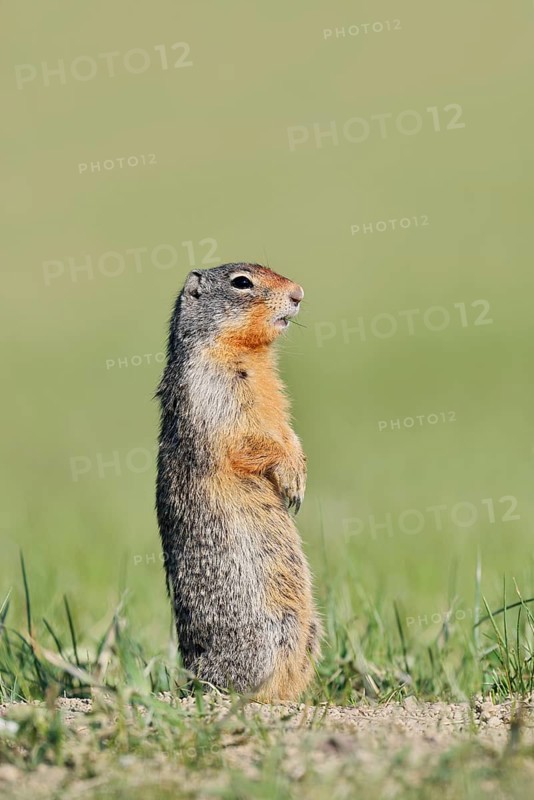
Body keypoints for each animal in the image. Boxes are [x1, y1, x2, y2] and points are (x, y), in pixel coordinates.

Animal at [155, 262, 321, 702]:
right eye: (242, 282)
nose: (299, 293)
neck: (251, 354)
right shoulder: (216, 390)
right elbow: (247, 439)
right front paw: (291, 477)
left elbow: (286, 431)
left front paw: (300, 471)